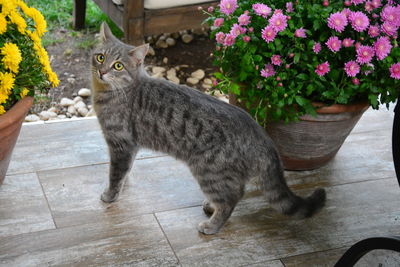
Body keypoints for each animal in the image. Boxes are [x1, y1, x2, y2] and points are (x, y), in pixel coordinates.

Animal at [93, 23, 324, 237]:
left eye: (118, 66)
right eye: (100, 57)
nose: (101, 71)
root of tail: (263, 138)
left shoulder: (120, 143)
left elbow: (115, 173)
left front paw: (110, 194)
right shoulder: (130, 146)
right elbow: (126, 169)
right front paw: (124, 184)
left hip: (210, 171)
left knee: (231, 199)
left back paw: (211, 224)